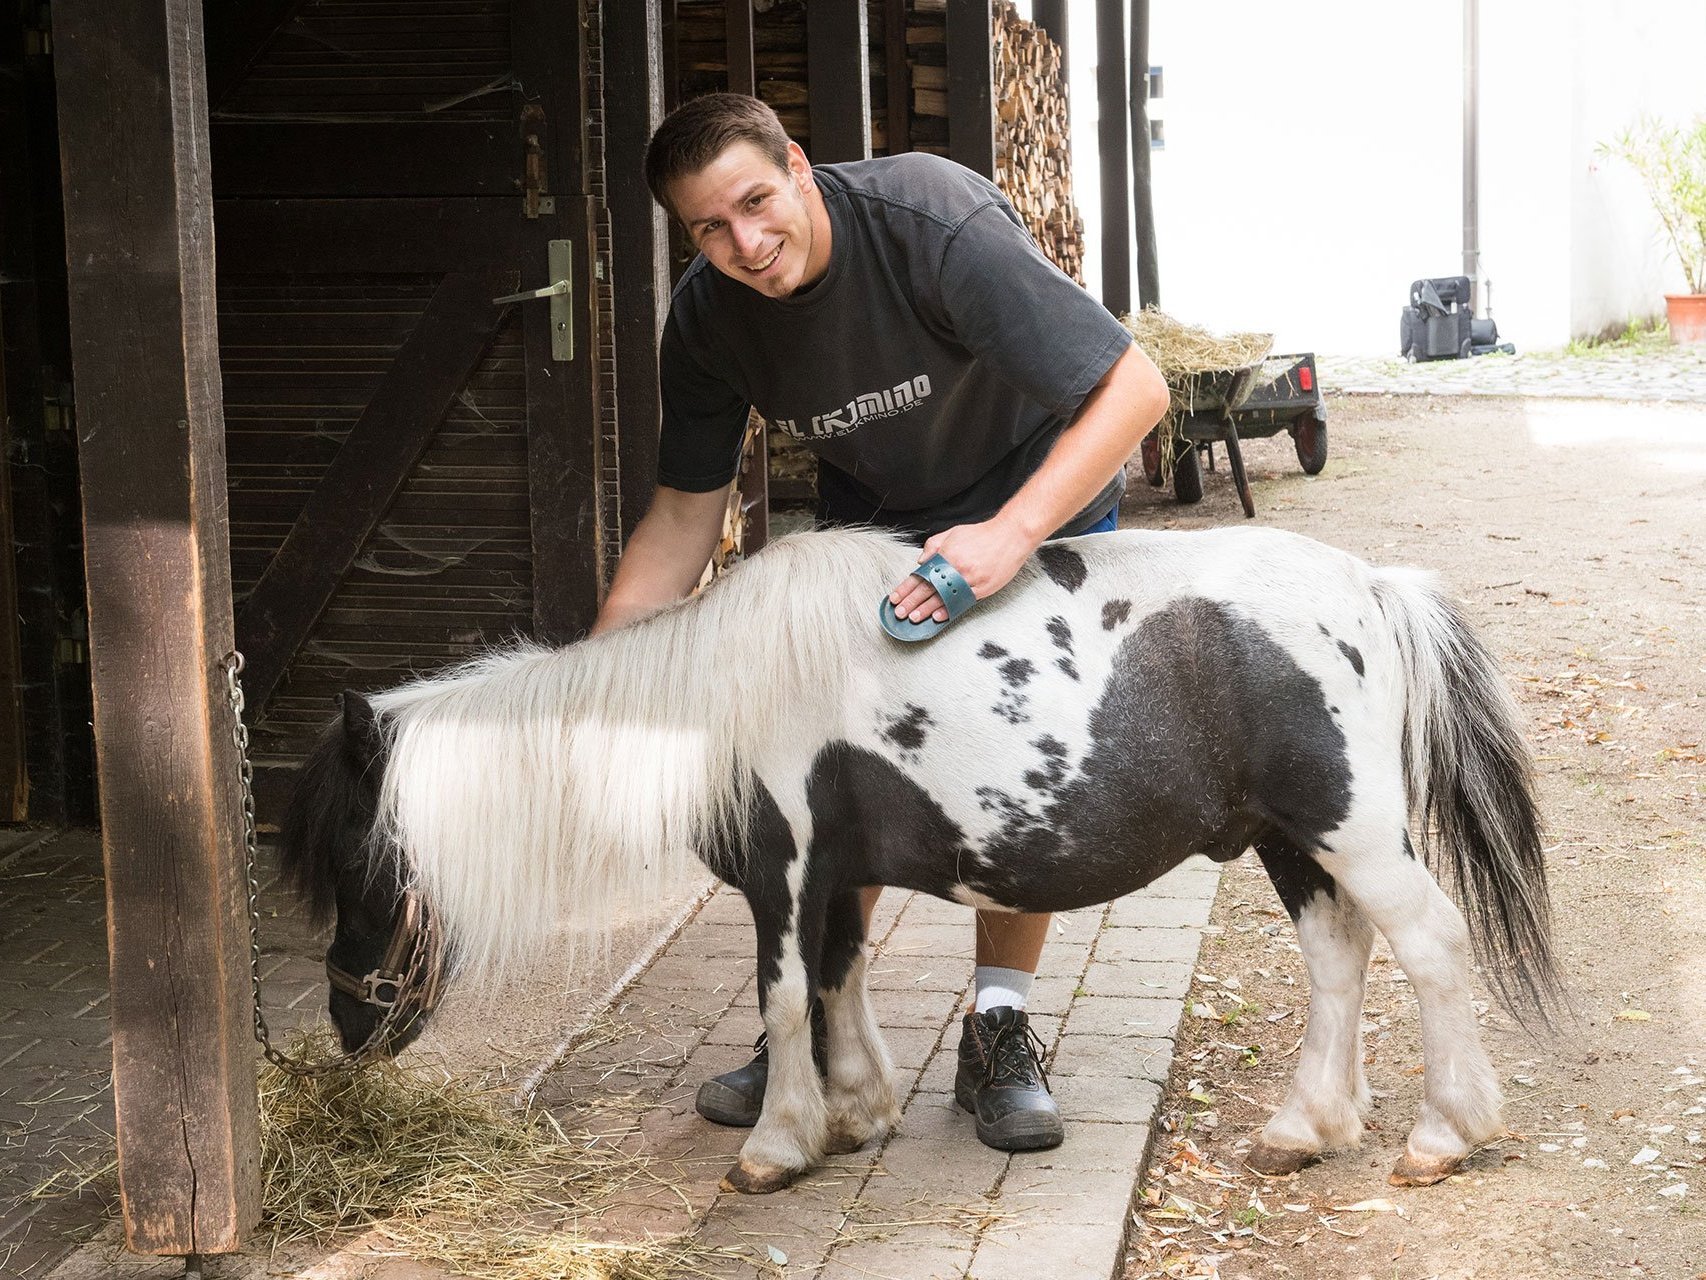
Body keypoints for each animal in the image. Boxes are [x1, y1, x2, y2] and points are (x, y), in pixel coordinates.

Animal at [277, 525, 1562, 1194]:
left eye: (349, 855)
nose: (347, 1026)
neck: (707, 705)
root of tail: (1370, 586)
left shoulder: (785, 870)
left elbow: (785, 994)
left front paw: (777, 1143)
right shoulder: (835, 876)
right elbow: (837, 979)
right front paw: (853, 1111)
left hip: (1349, 829)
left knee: (1427, 944)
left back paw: (1443, 1132)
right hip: (1290, 838)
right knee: (1337, 956)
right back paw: (1306, 1125)